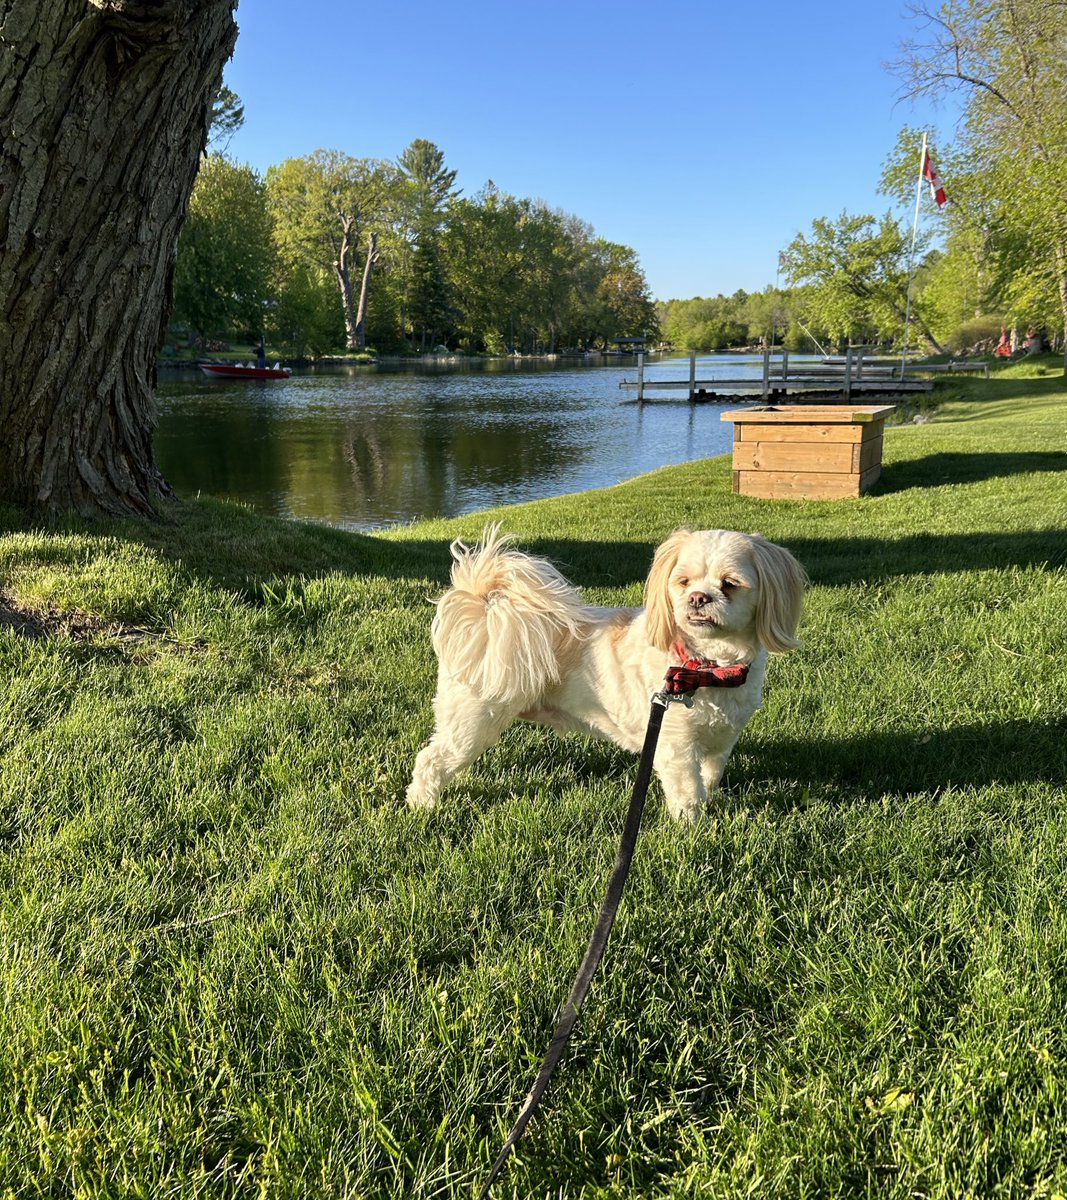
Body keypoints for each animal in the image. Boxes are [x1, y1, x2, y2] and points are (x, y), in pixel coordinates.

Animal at [403, 528, 801, 820]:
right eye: (683, 582)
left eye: (730, 584)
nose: (699, 598)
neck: (705, 667)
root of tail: (485, 615)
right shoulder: (674, 744)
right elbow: (687, 790)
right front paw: (693, 828)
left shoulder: (723, 738)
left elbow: (710, 775)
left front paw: (713, 802)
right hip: (474, 718)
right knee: (431, 759)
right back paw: (422, 804)